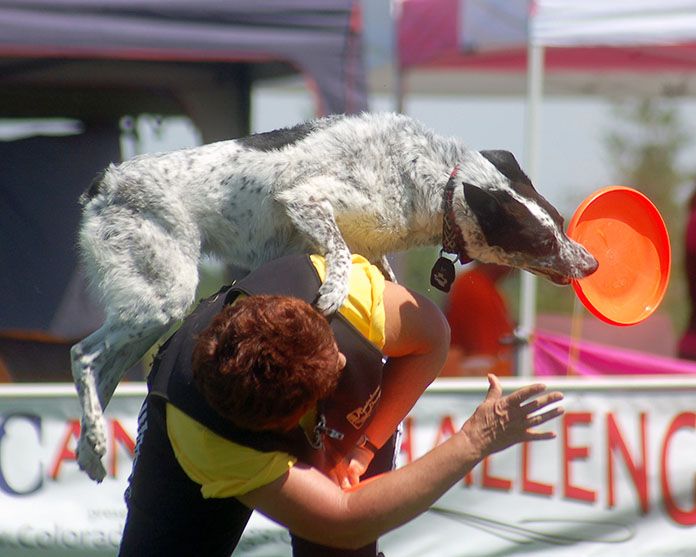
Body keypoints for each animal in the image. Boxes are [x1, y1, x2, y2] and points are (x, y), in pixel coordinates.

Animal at [72, 111, 600, 480]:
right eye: (542, 240)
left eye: (558, 221)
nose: (592, 264)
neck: (433, 180)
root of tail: (105, 182)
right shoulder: (307, 200)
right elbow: (340, 253)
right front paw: (334, 290)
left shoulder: (372, 248)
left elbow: (377, 269)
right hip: (166, 295)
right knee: (83, 355)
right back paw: (95, 434)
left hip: (151, 313)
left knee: (103, 370)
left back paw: (91, 451)